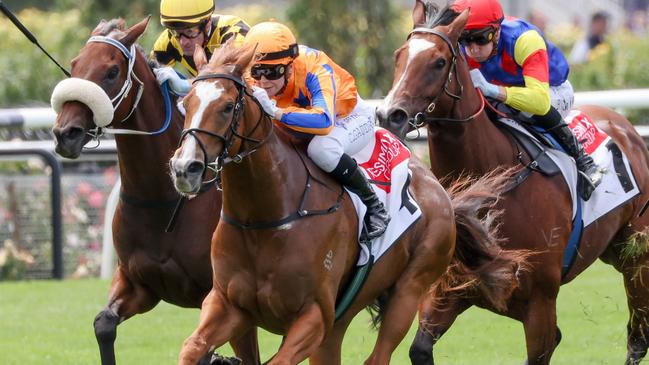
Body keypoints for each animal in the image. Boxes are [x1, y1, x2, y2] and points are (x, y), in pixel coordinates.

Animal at [50, 18, 258, 364]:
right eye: (74, 64)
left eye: (111, 72)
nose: (66, 133)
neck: (161, 199)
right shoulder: (138, 283)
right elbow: (103, 323)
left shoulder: (226, 299)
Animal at [170, 40, 524, 364]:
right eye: (186, 103)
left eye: (228, 106)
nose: (185, 167)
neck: (265, 217)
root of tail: (440, 191)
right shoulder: (228, 304)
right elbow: (192, 347)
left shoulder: (314, 316)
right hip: (341, 319)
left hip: (410, 289)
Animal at [378, 2, 649, 362]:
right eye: (399, 56)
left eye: (438, 62)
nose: (388, 114)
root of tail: (626, 126)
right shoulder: (449, 292)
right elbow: (420, 349)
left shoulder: (540, 305)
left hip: (637, 257)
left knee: (638, 338)